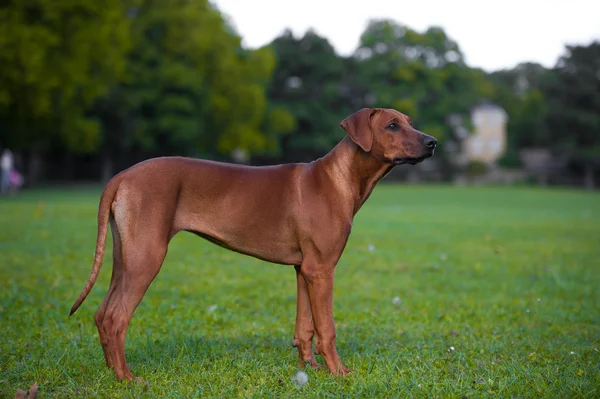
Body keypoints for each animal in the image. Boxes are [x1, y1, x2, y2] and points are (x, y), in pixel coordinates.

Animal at [69, 107, 436, 382]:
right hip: (147, 258)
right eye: (392, 125)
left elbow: (305, 327)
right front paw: (339, 372)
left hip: (125, 257)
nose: (433, 142)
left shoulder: (305, 269)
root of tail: (120, 176)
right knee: (116, 318)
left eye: (410, 122)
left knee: (102, 314)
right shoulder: (322, 269)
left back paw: (112, 371)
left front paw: (312, 369)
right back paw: (127, 378)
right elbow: (327, 328)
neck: (340, 178)